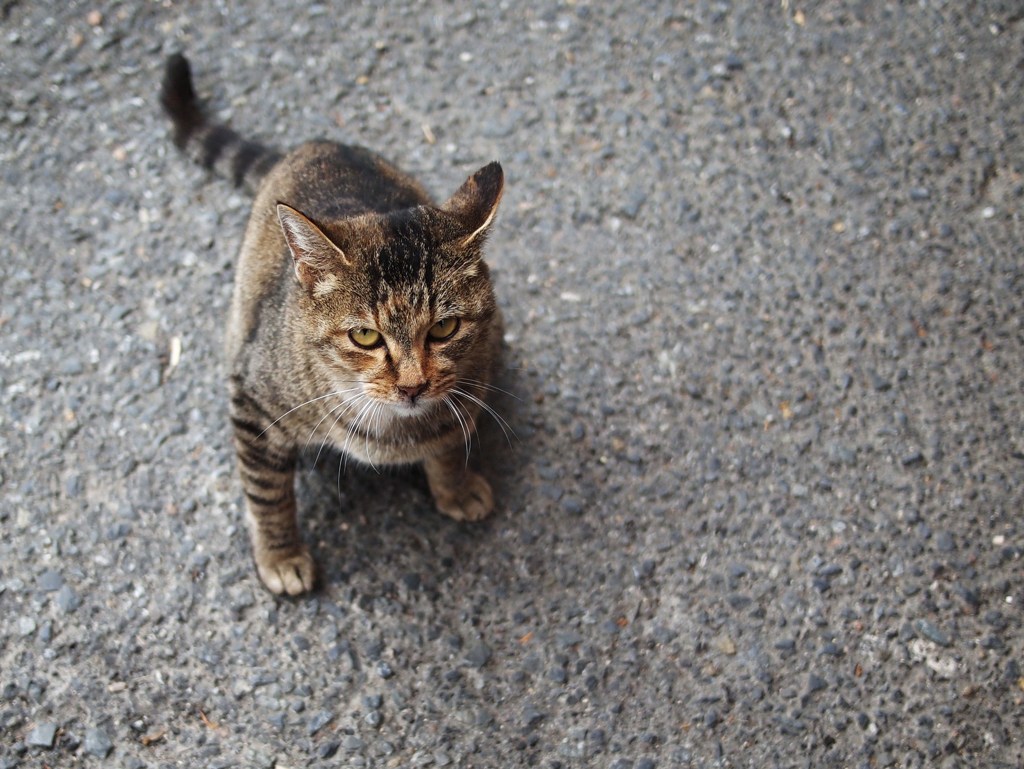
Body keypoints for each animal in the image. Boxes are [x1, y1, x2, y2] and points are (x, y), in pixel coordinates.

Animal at [160, 54, 507, 593]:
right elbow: (267, 494)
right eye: (365, 336)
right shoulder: (251, 398)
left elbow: (451, 442)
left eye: (444, 330)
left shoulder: (474, 377)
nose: (413, 385)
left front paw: (455, 487)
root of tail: (314, 143)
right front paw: (281, 556)